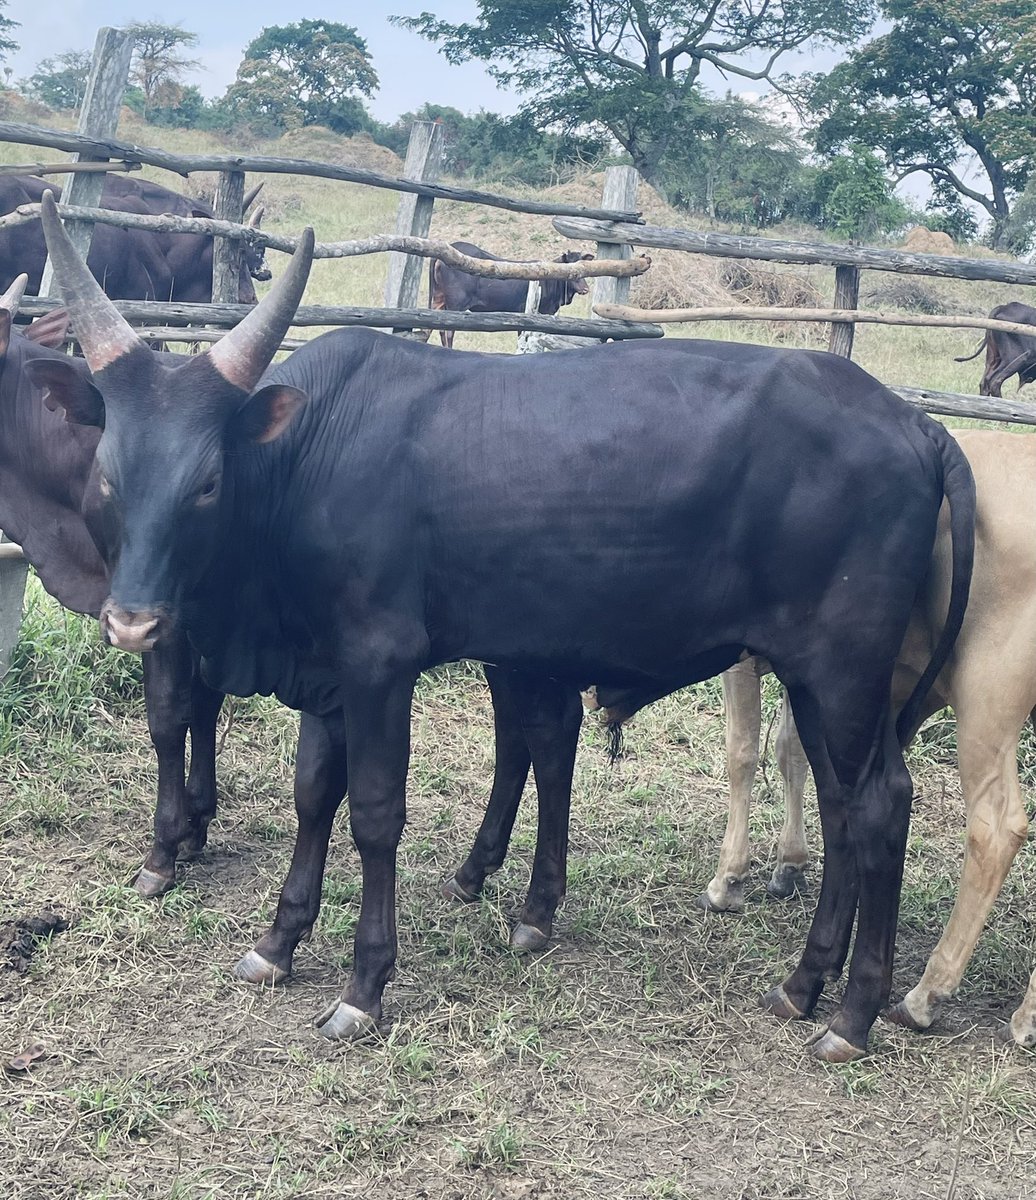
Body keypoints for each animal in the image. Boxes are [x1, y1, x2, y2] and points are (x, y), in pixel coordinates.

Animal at [429, 240, 593, 348]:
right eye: (571, 269)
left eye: (583, 266)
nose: (585, 289)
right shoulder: (525, 312)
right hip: (456, 304)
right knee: (448, 331)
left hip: (438, 299)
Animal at [691, 428, 1036, 1047]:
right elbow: (793, 753)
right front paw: (790, 862)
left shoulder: (746, 658)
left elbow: (743, 752)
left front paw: (729, 878)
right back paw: (1027, 1013)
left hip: (987, 702)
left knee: (995, 829)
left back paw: (925, 995)